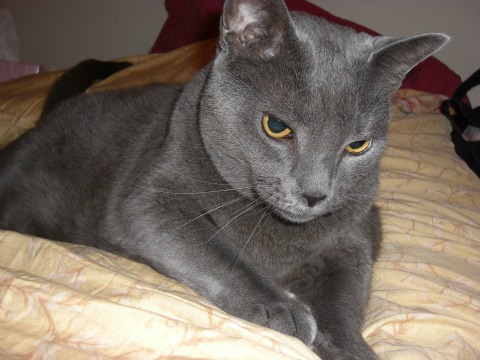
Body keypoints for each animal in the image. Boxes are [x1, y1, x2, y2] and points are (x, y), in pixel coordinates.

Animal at [0, 1, 446, 358]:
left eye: (357, 145)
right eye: (276, 126)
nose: (315, 194)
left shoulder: (359, 234)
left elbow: (344, 297)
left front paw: (352, 350)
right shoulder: (151, 197)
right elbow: (219, 252)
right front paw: (283, 309)